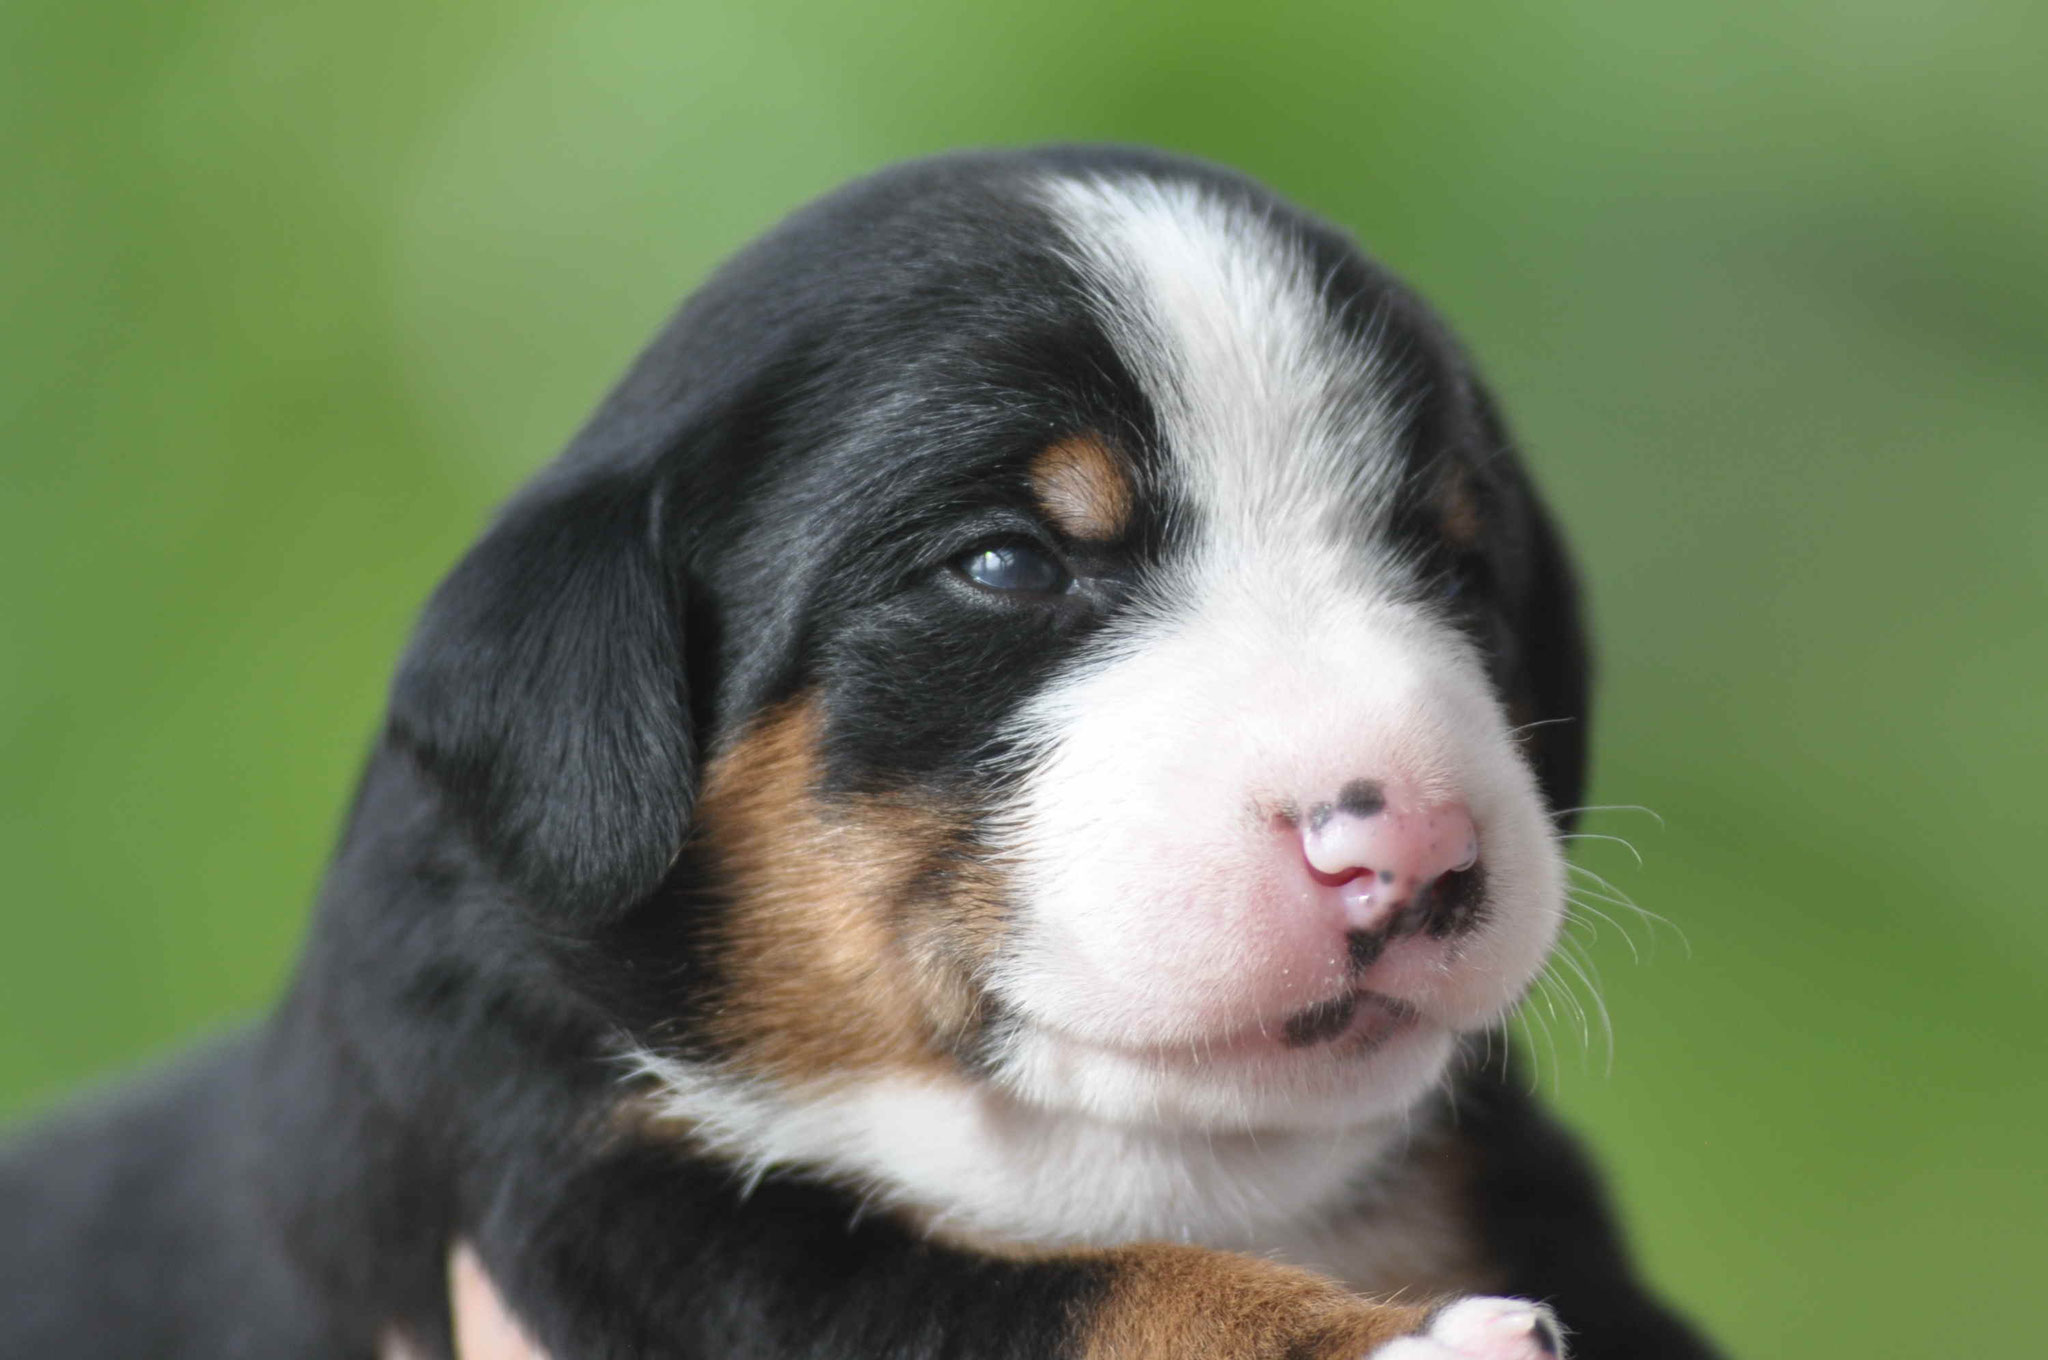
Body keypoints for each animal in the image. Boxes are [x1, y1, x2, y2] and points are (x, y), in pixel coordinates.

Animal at [0, 143, 1728, 1351]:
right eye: (1007, 564)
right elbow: (1069, 1292)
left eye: (1455, 572)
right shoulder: (581, 1189)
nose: (1412, 843)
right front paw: (1382, 1344)